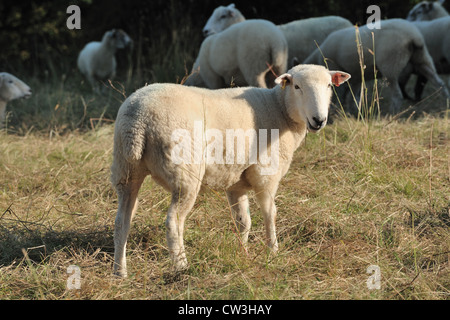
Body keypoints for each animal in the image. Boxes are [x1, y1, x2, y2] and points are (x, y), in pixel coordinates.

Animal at [110, 63, 350, 276]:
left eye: (329, 85)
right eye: (297, 86)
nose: (319, 120)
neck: (279, 108)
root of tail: (138, 120)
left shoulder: (236, 182)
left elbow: (243, 221)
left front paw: (242, 253)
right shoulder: (265, 174)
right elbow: (270, 214)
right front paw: (273, 252)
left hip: (126, 170)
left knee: (122, 221)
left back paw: (120, 272)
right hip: (184, 174)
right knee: (173, 222)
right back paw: (181, 266)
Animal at [302, 18, 450, 114]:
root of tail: (414, 37)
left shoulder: (336, 66)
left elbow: (340, 93)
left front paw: (336, 110)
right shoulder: (356, 76)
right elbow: (355, 96)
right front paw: (353, 112)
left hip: (391, 64)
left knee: (397, 94)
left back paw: (391, 114)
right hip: (422, 59)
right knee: (440, 83)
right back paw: (446, 104)